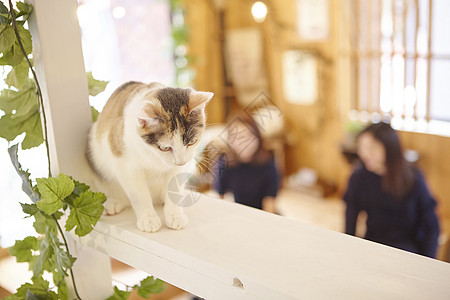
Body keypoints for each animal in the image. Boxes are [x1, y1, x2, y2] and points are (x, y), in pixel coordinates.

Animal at [88, 81, 214, 232]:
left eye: (192, 142)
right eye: (165, 148)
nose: (181, 162)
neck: (156, 158)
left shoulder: (179, 167)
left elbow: (174, 187)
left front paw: (175, 215)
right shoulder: (125, 165)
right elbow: (139, 194)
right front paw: (148, 218)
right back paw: (114, 202)